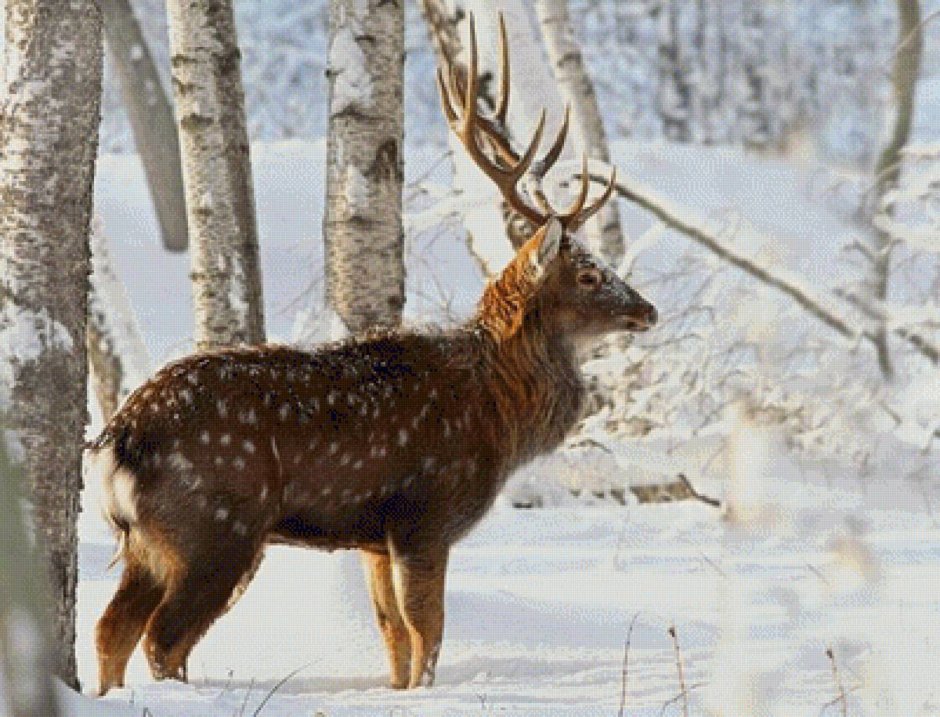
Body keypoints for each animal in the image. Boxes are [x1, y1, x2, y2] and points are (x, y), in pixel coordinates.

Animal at [87, 14, 657, 696]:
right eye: (590, 275)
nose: (648, 309)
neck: (497, 410)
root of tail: (117, 438)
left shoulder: (372, 538)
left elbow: (393, 637)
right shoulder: (425, 514)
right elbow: (426, 632)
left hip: (149, 542)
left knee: (110, 629)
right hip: (215, 526)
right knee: (161, 639)